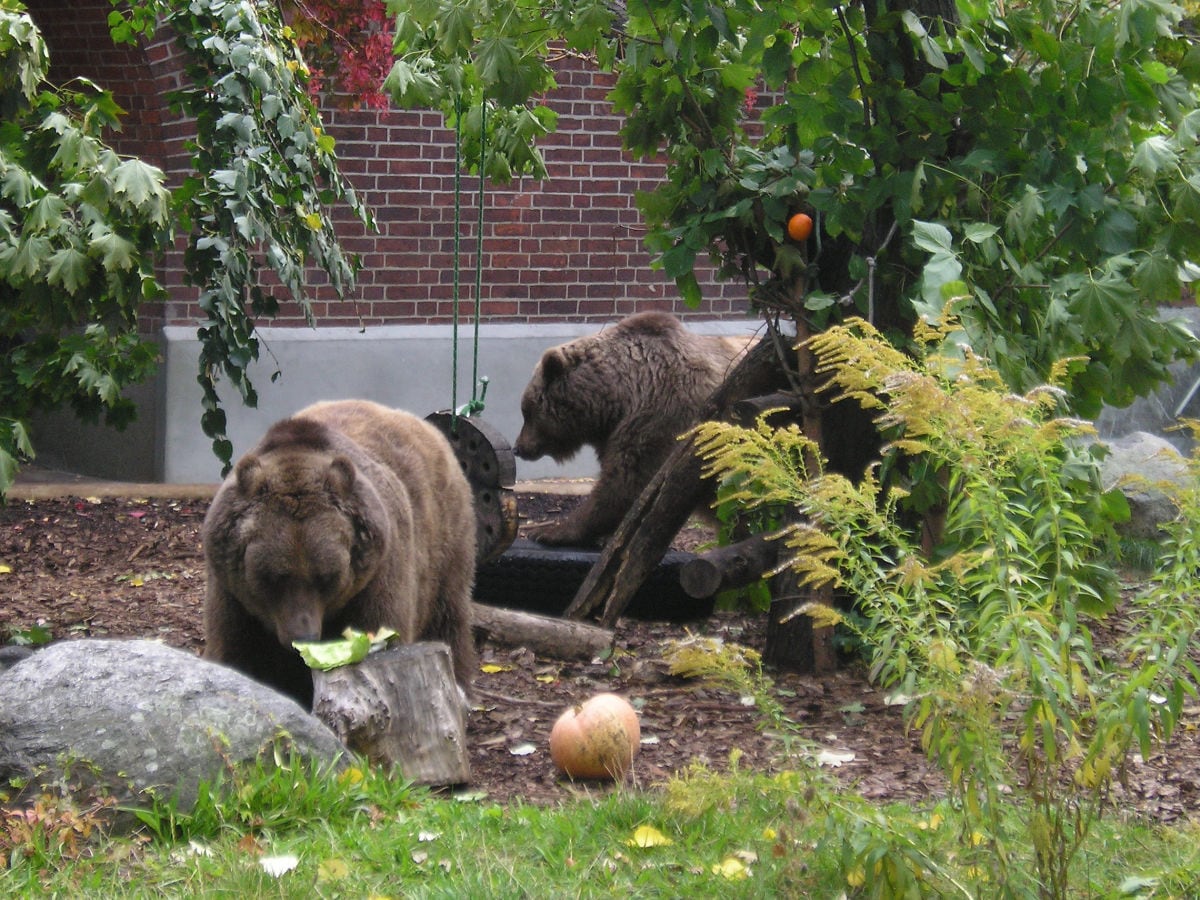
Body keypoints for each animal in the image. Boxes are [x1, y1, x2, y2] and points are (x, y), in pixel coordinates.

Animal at [200, 400, 472, 710]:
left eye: (326, 577)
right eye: (273, 577)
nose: (302, 636)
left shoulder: (377, 576)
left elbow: (382, 628)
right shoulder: (232, 596)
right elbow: (236, 653)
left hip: (446, 538)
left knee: (449, 613)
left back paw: (461, 688)